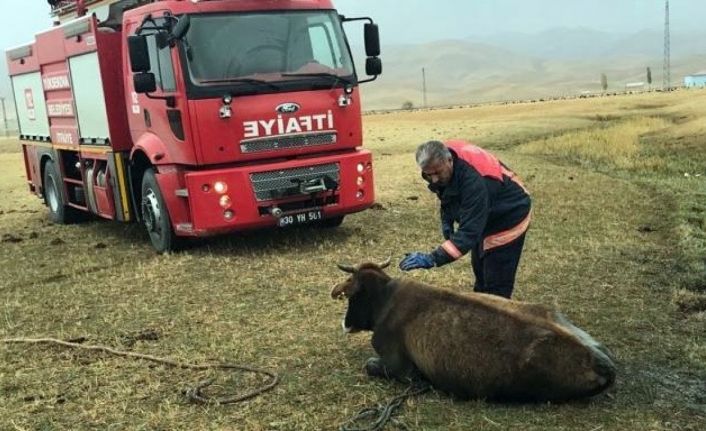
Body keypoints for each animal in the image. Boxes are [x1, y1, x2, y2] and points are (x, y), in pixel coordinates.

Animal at [330, 260, 612, 404]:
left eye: (352, 295)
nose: (345, 324)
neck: (385, 299)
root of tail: (600, 364)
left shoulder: (400, 368)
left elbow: (371, 365)